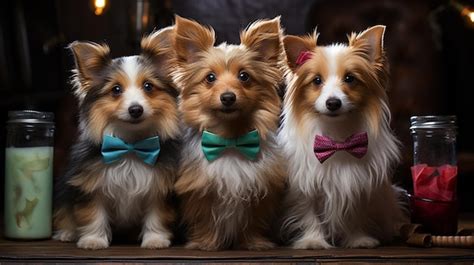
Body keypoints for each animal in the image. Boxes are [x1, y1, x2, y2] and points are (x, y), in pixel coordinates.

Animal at [52, 27, 181, 249]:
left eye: (148, 86)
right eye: (116, 90)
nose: (135, 109)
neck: (130, 145)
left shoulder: (159, 187)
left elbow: (156, 215)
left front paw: (155, 239)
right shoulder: (90, 185)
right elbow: (93, 214)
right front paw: (93, 240)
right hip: (64, 190)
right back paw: (66, 233)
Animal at [173, 16, 286, 250]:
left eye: (244, 76)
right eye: (210, 78)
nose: (228, 97)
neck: (230, 139)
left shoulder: (260, 190)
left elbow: (254, 220)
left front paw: (254, 243)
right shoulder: (200, 190)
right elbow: (204, 218)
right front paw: (205, 243)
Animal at [278, 24, 408, 248]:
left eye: (350, 79)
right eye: (317, 81)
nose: (333, 103)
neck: (336, 138)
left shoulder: (357, 185)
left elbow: (354, 216)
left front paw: (359, 239)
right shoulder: (305, 187)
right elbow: (309, 214)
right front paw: (313, 241)